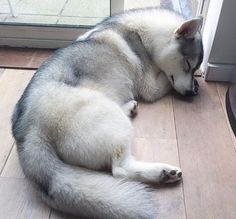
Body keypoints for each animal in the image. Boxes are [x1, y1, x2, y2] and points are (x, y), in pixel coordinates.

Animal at [11, 7, 203, 219]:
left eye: (195, 67)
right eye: (188, 64)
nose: (191, 92)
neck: (142, 33)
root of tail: (29, 132)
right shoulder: (151, 87)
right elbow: (165, 81)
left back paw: (129, 109)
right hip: (111, 119)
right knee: (120, 169)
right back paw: (162, 172)